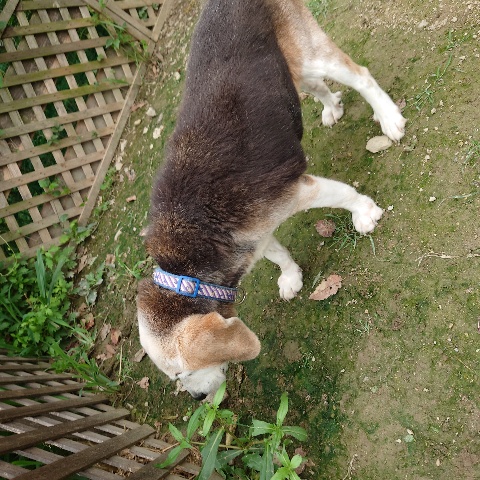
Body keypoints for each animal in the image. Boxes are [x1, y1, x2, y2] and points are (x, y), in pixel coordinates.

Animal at [137, 0, 406, 400]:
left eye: (182, 373)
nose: (198, 398)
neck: (188, 256)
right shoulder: (254, 237)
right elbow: (277, 254)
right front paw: (291, 276)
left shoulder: (298, 191)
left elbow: (343, 194)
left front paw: (364, 213)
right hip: (289, 71)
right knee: (316, 87)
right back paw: (331, 108)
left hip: (314, 55)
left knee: (360, 76)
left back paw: (388, 117)